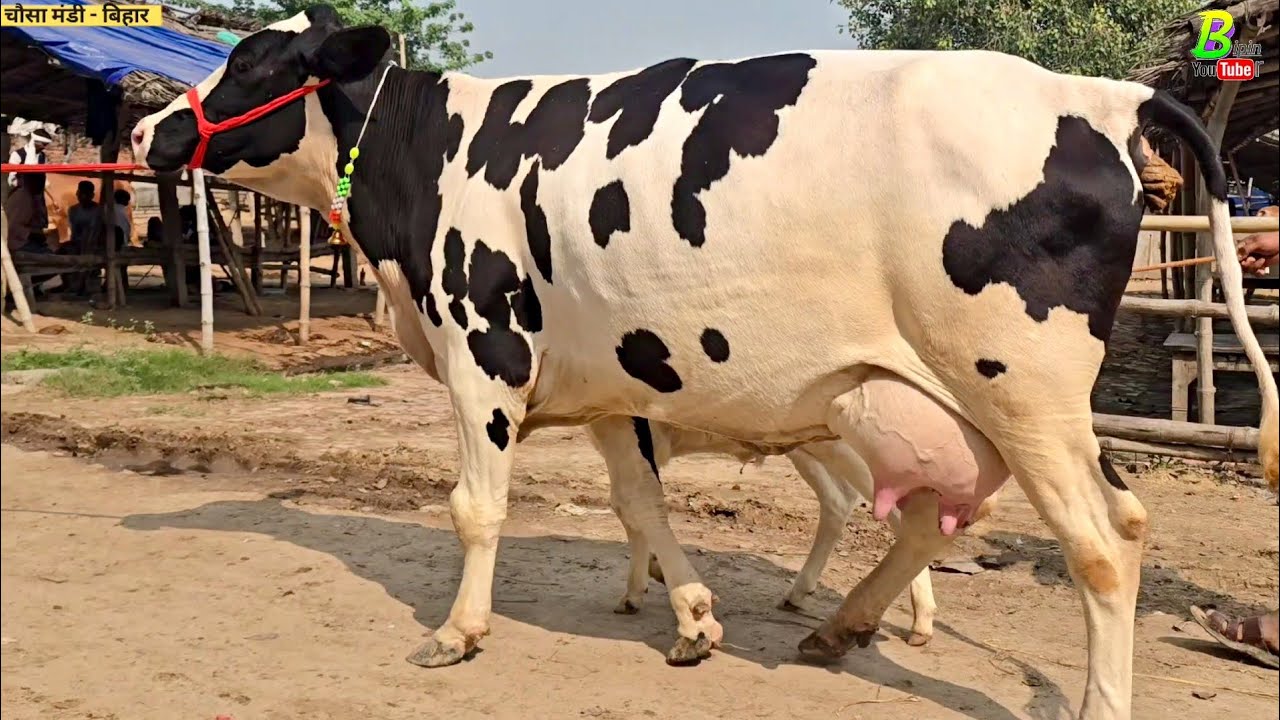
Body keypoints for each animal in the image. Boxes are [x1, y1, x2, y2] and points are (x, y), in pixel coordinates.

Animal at [129, 7, 1279, 718]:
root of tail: (1100, 93)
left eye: (250, 64)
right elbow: (641, 505)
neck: (430, 154)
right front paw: (689, 620)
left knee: (1104, 542)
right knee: (940, 517)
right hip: (949, 396)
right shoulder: (607, 378)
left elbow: (475, 507)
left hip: (1021, 388)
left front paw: (457, 632)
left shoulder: (482, 350)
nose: (147, 131)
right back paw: (841, 625)